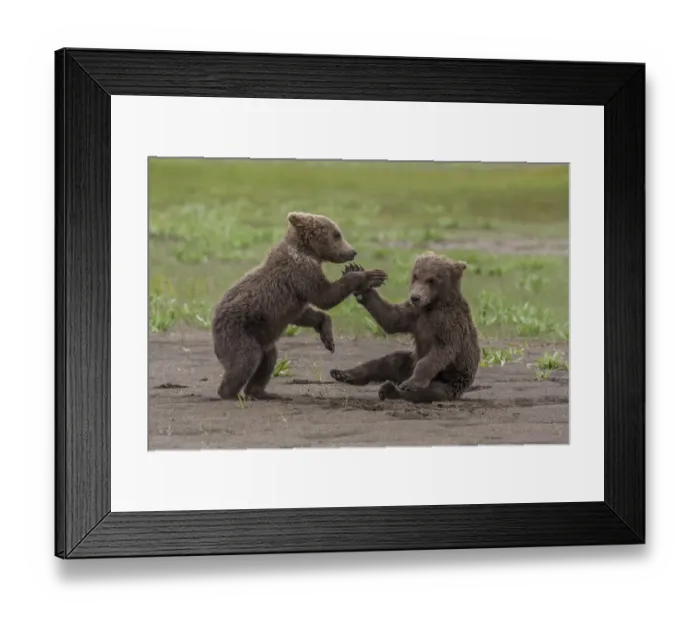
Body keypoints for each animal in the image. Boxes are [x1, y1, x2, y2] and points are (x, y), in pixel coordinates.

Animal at [212, 212, 388, 401]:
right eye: (337, 234)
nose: (352, 251)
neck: (309, 251)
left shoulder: (295, 297)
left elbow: (305, 314)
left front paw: (328, 339)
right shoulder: (301, 272)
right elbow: (325, 296)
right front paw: (371, 275)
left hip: (260, 335)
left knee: (268, 359)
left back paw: (264, 393)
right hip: (237, 332)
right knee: (247, 359)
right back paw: (231, 394)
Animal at [329, 252, 480, 403]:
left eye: (431, 280)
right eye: (415, 276)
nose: (415, 297)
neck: (431, 306)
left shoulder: (447, 323)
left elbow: (441, 351)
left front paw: (412, 383)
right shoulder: (414, 314)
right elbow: (392, 318)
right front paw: (357, 273)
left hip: (450, 380)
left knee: (433, 391)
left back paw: (394, 389)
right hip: (410, 361)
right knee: (388, 362)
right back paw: (343, 374)